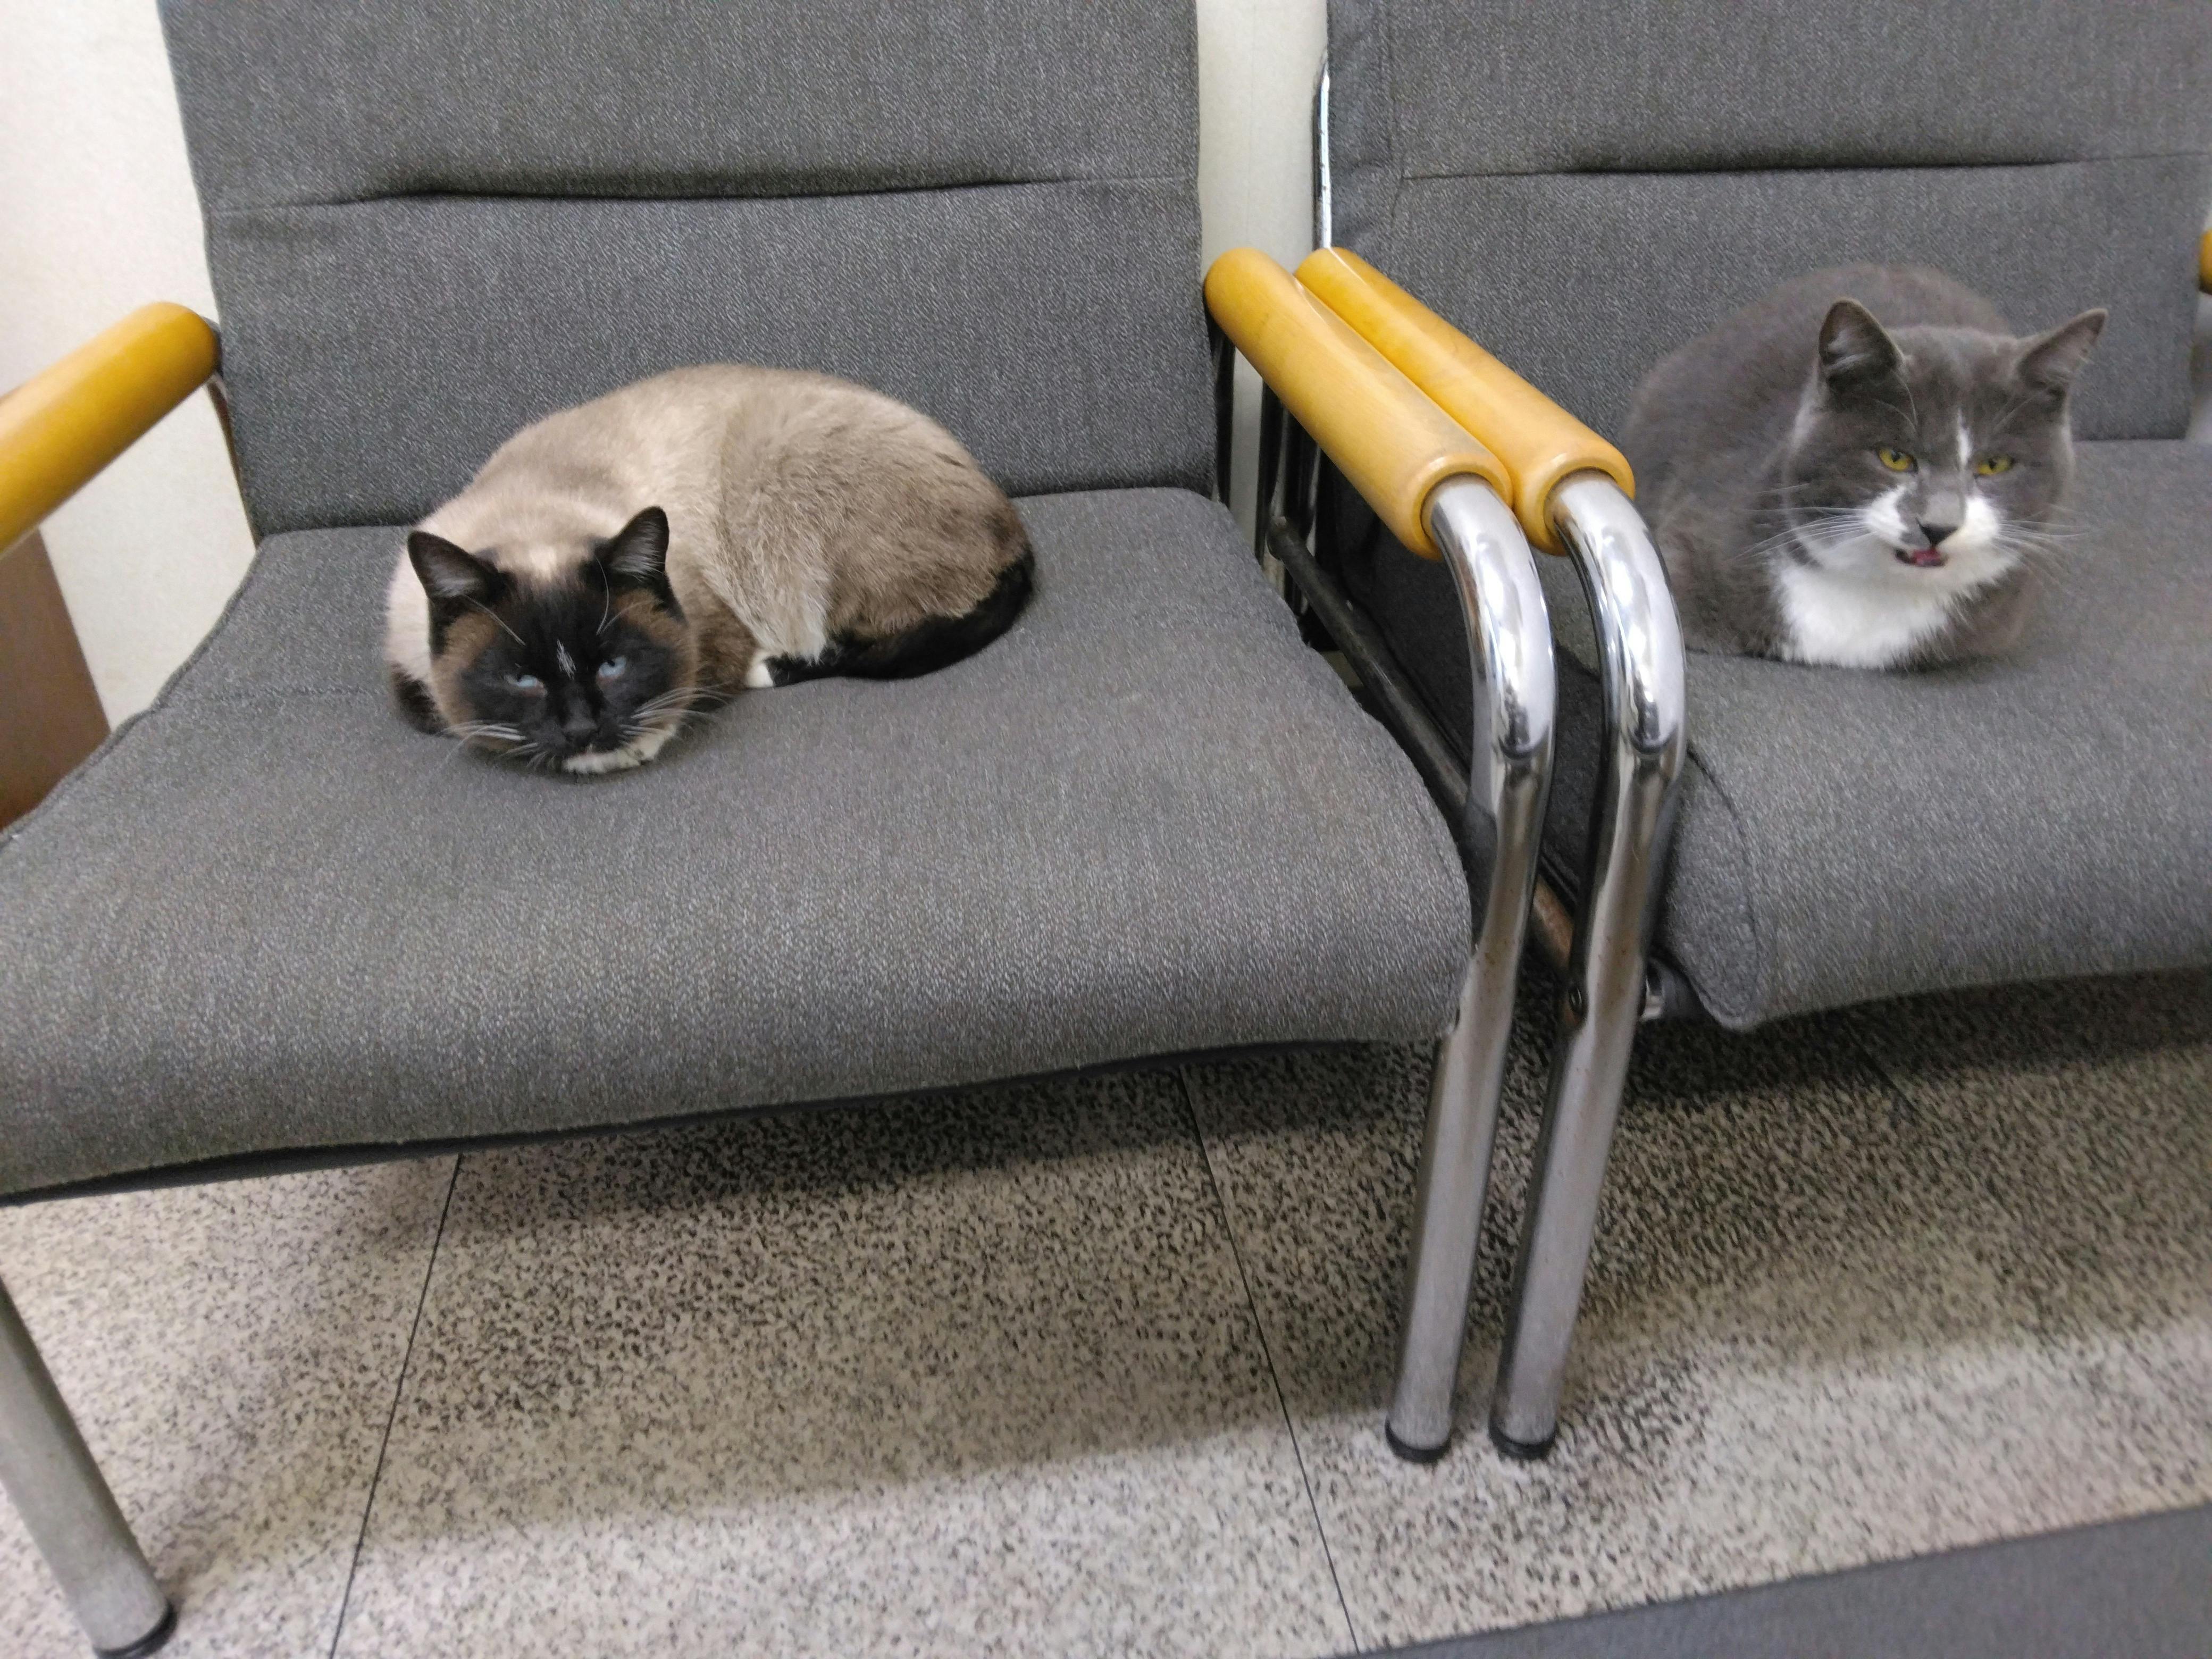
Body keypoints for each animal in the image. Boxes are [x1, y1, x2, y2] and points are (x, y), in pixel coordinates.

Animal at [384, 365, 1034, 773]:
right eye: (523, 679)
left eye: (614, 664)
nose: (581, 731)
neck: (536, 507)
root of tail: (1010, 518)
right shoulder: (407, 673)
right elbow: (435, 714)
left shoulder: (712, 632)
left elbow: (689, 684)